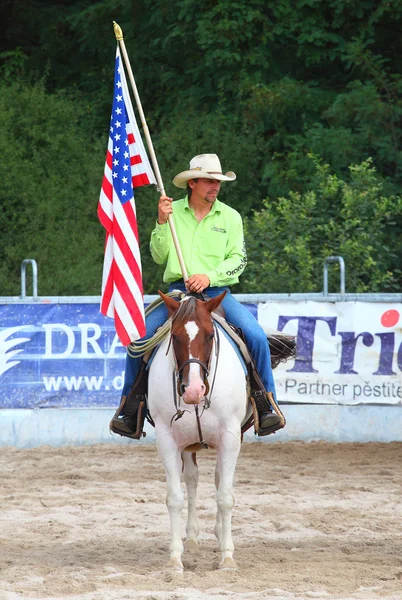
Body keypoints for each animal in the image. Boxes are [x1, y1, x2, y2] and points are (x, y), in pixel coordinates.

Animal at [148, 290, 251, 572]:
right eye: (174, 336)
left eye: (209, 335)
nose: (193, 390)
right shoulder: (167, 440)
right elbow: (175, 497)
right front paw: (175, 558)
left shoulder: (231, 437)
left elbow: (225, 496)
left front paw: (227, 557)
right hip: (187, 444)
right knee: (192, 479)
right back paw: (192, 539)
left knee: (217, 478)